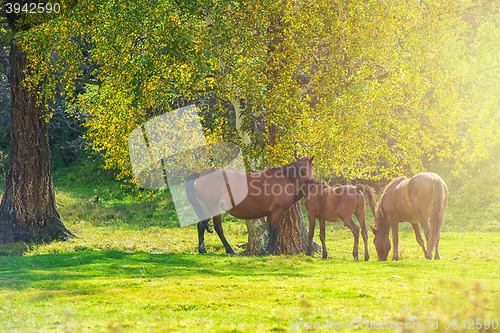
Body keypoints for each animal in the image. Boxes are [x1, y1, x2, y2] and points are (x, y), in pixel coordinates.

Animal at [186, 157, 314, 253]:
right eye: (313, 166)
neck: (288, 178)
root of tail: (202, 174)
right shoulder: (277, 211)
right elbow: (273, 230)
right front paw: (270, 250)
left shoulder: (271, 213)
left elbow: (271, 230)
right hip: (214, 207)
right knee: (218, 228)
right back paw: (230, 250)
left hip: (208, 208)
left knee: (201, 226)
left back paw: (202, 250)